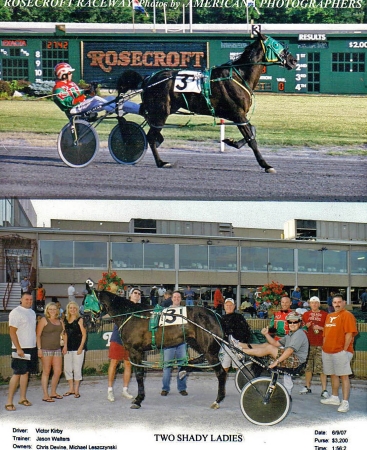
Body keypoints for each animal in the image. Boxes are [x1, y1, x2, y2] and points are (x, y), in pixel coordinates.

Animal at [95, 288, 252, 412]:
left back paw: (217, 400)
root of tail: (218, 316)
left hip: (209, 349)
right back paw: (184, 369)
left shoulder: (136, 352)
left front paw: (138, 400)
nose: (89, 319)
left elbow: (139, 375)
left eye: (90, 298)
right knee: (202, 359)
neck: (132, 315)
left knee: (220, 373)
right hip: (196, 342)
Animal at [118, 31, 300, 172]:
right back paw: (161, 162)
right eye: (276, 45)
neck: (238, 76)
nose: (294, 60)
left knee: (150, 128)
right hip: (161, 111)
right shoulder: (237, 114)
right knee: (151, 136)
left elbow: (252, 131)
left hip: (162, 110)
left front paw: (231, 141)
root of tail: (148, 79)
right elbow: (252, 140)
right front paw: (266, 165)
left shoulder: (239, 115)